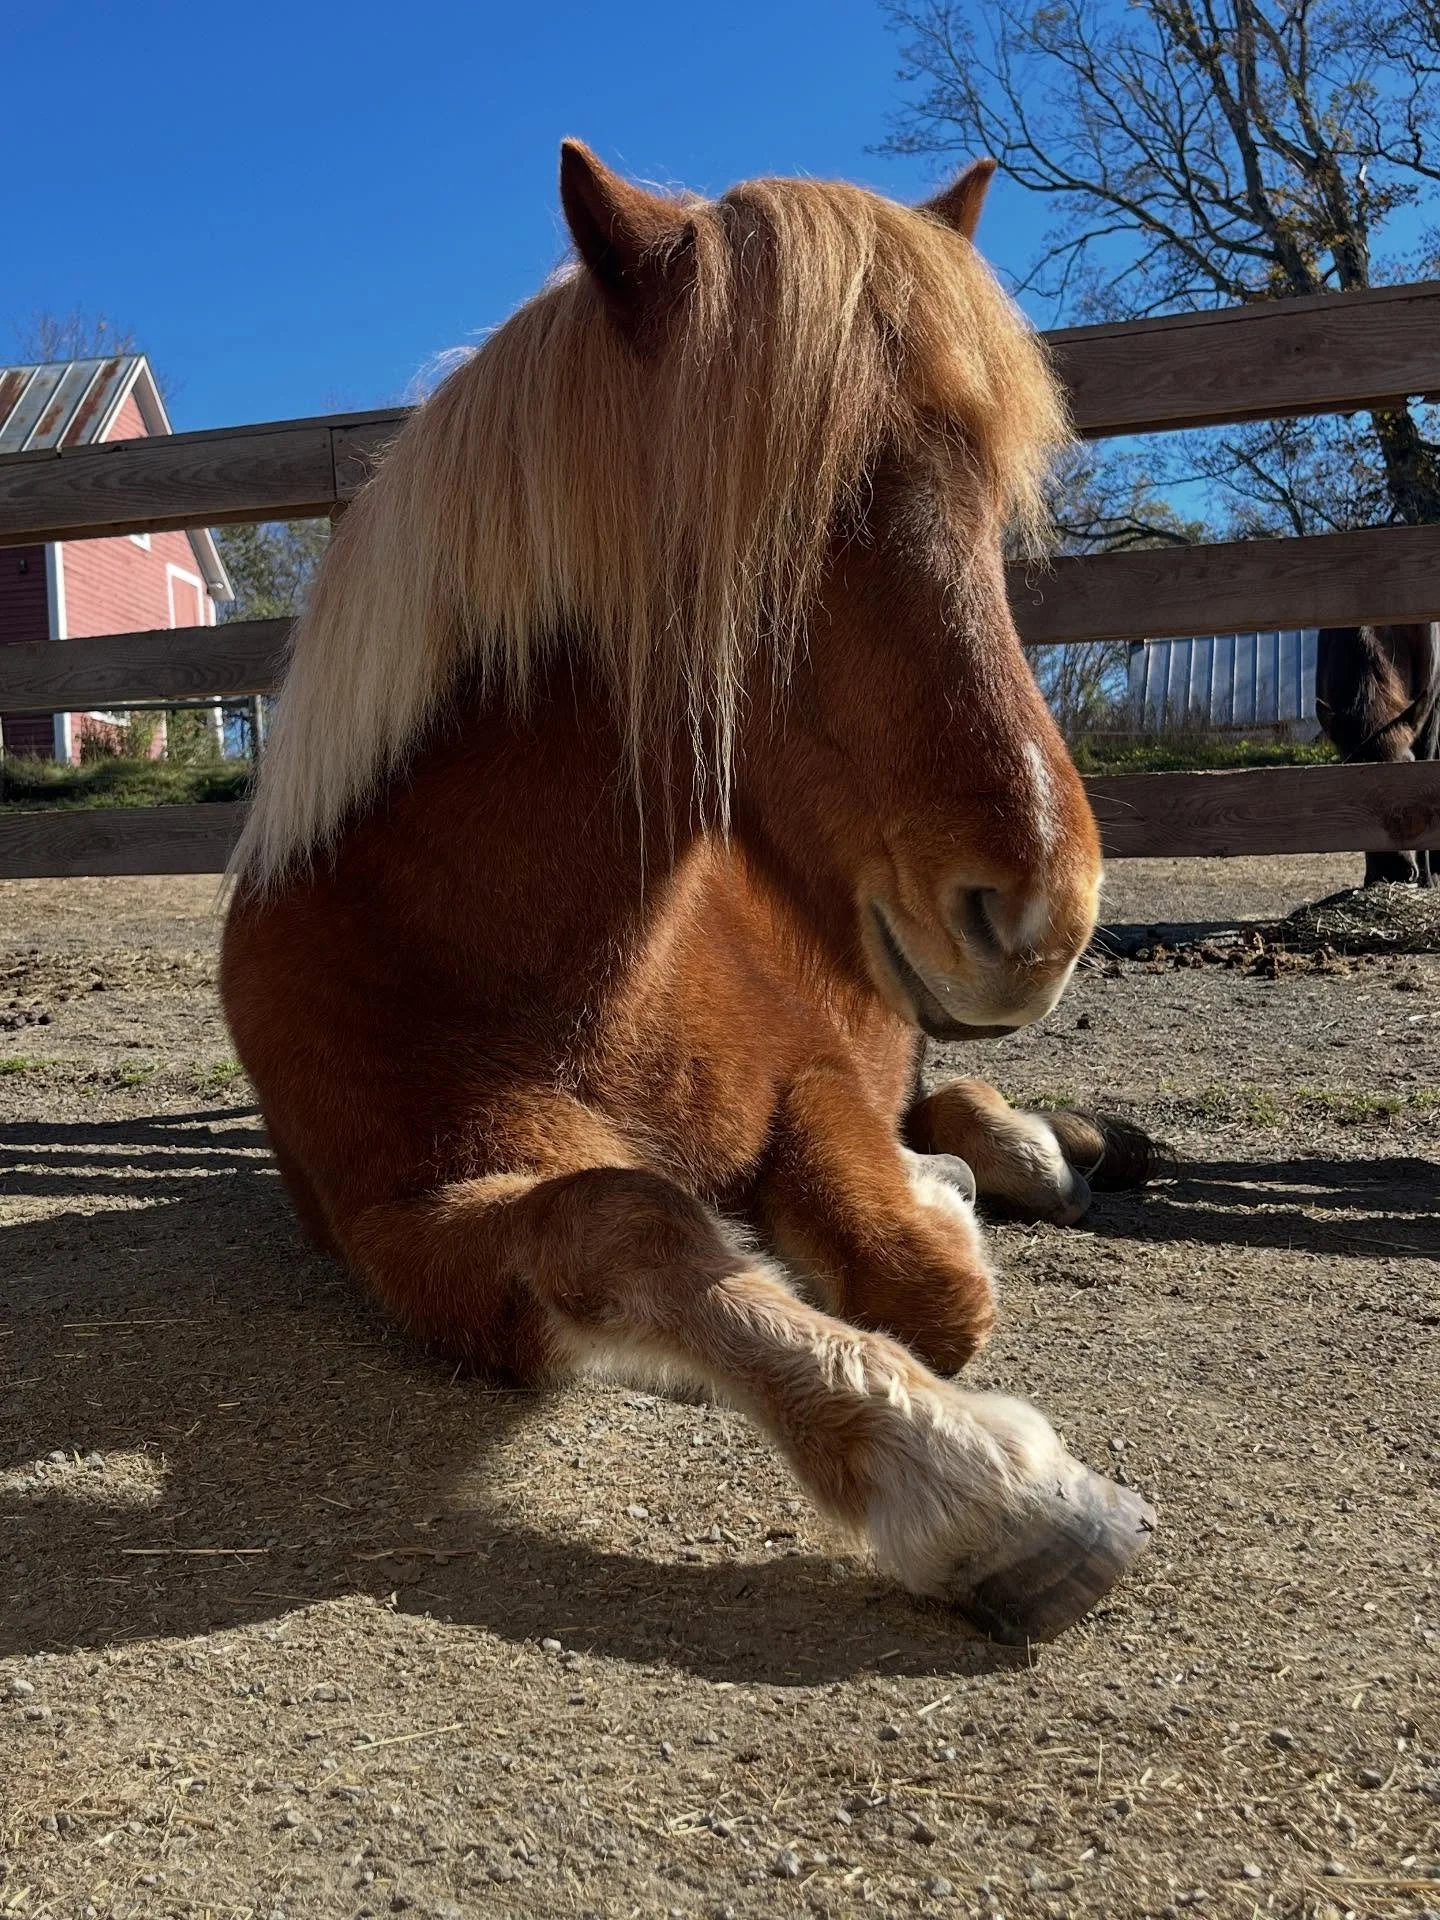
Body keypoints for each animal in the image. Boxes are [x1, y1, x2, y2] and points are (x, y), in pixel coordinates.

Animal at [219, 142, 1157, 1645]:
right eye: (763, 541)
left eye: (987, 509)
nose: (1039, 920)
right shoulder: (401, 1219)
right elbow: (630, 1224)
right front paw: (980, 1487)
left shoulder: (808, 1080)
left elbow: (914, 1273)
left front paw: (943, 1243)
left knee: (946, 1093)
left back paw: (1032, 1147)